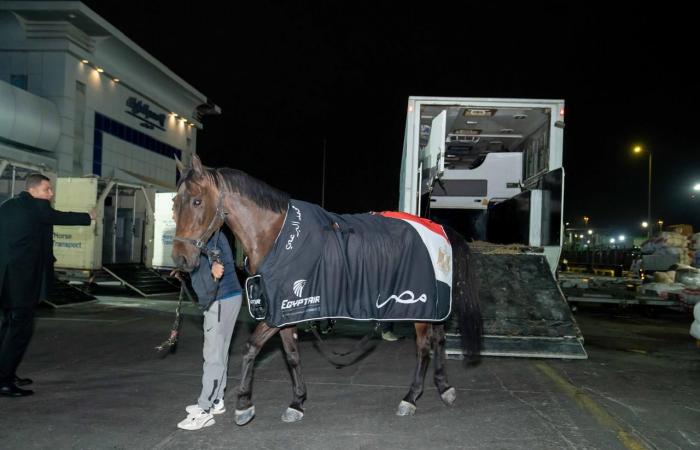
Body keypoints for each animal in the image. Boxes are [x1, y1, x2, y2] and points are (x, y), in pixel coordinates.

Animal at [171, 156, 482, 426]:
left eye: (197, 201)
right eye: (175, 203)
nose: (180, 259)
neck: (278, 237)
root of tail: (439, 229)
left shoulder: (282, 308)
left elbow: (251, 348)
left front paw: (244, 405)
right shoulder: (286, 311)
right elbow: (291, 355)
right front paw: (297, 402)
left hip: (418, 305)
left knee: (424, 347)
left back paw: (411, 398)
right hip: (434, 306)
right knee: (439, 340)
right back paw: (444, 388)